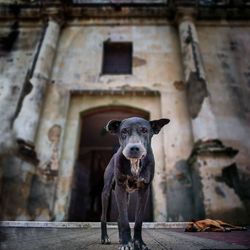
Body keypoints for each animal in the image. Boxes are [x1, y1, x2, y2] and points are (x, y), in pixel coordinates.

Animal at [100, 117, 169, 250]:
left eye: (144, 130)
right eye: (124, 131)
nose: (134, 148)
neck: (134, 163)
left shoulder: (144, 190)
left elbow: (138, 221)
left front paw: (138, 243)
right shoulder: (120, 188)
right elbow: (125, 221)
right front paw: (126, 243)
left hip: (127, 196)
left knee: (119, 218)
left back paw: (121, 238)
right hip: (106, 192)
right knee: (104, 216)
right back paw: (105, 237)